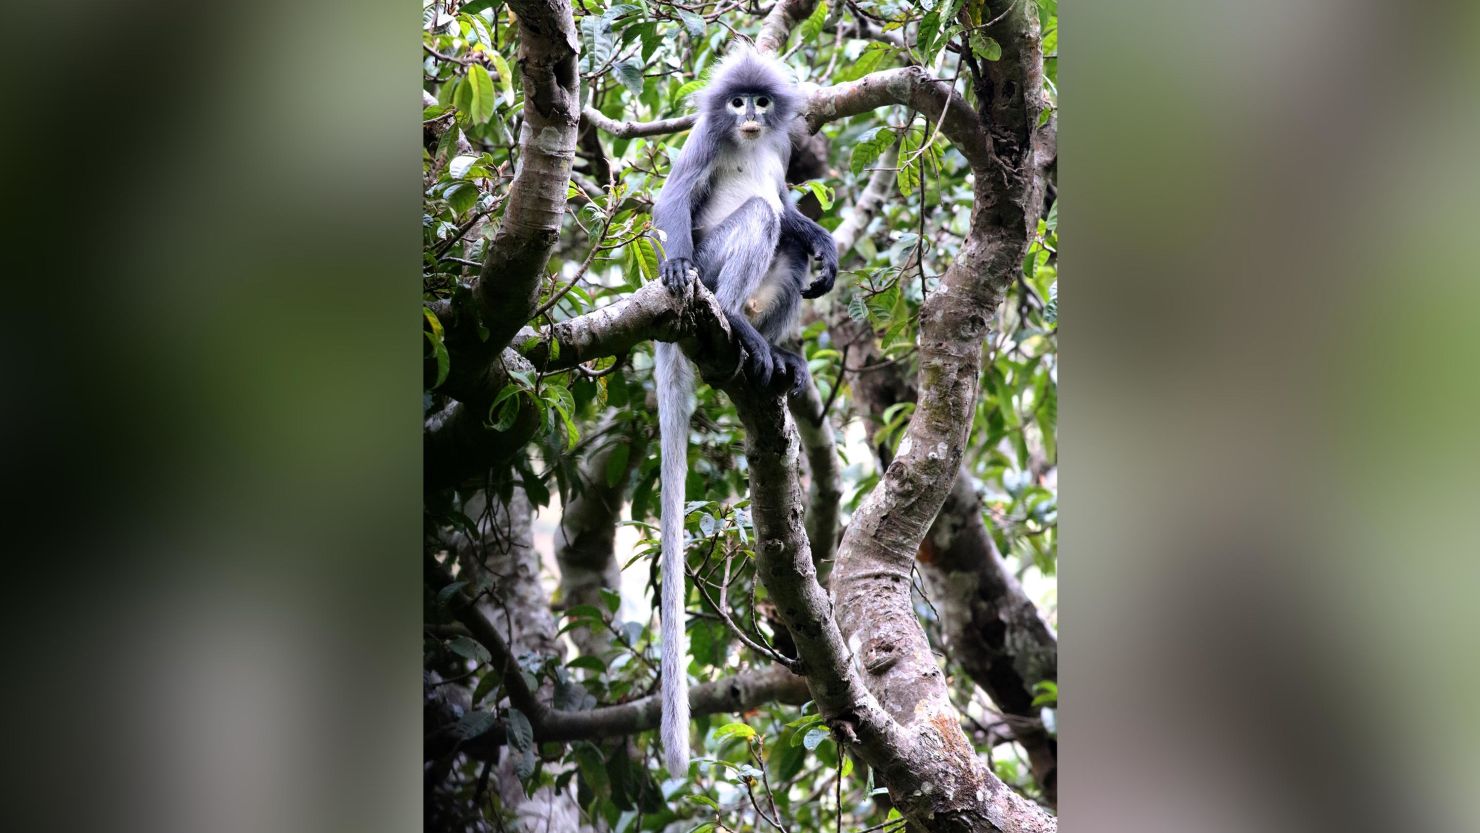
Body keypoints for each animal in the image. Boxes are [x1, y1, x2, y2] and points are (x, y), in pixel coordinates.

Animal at [654, 48, 840, 775]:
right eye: (737, 104)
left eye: (761, 101)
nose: (751, 115)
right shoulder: (705, 140)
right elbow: (672, 197)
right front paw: (675, 260)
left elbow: (790, 204)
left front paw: (824, 239)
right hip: (712, 273)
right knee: (759, 218)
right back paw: (731, 322)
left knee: (781, 231)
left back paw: (778, 354)